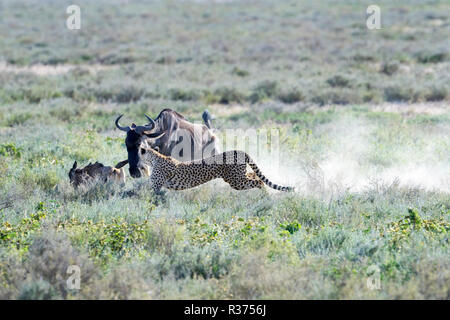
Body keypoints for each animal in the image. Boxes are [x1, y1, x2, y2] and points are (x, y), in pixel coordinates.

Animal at [142, 147, 296, 194]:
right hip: (238, 176)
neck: (153, 157)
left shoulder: (155, 186)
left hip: (236, 180)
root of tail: (239, 150)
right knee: (255, 176)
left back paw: (265, 197)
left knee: (259, 181)